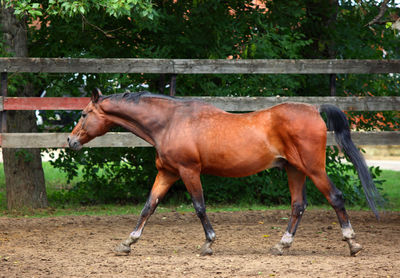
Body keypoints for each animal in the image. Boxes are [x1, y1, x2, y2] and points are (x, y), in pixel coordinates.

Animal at [68, 88, 382, 256]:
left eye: (83, 114)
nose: (70, 141)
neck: (169, 122)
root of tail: (315, 110)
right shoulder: (167, 173)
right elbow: (149, 206)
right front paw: (127, 243)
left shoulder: (189, 171)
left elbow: (199, 207)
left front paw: (208, 243)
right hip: (295, 171)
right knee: (298, 206)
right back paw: (282, 245)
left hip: (314, 169)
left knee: (336, 197)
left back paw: (352, 243)